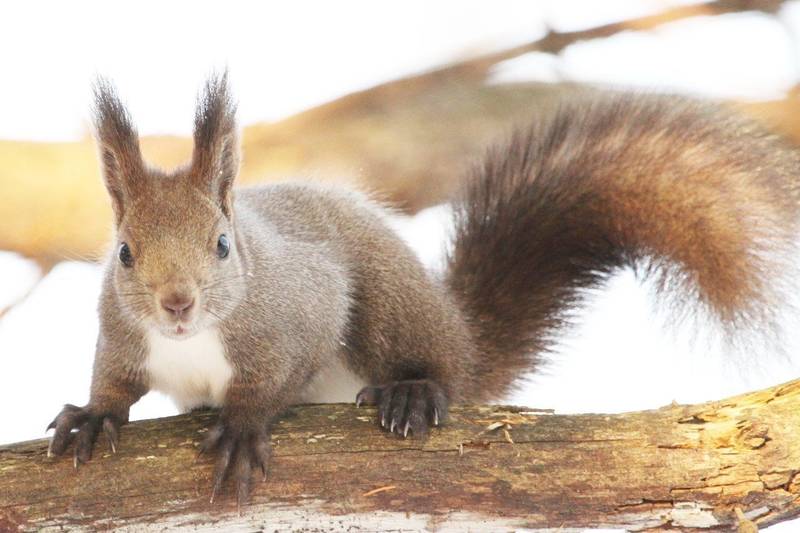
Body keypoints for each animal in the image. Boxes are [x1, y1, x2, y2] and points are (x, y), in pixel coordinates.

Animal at [47, 74, 800, 502]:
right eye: (124, 254)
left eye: (223, 245)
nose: (177, 304)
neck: (192, 340)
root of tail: (462, 335)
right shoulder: (122, 335)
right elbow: (113, 382)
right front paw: (92, 416)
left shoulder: (303, 306)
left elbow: (273, 378)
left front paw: (241, 425)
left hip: (390, 306)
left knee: (434, 365)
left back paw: (414, 390)